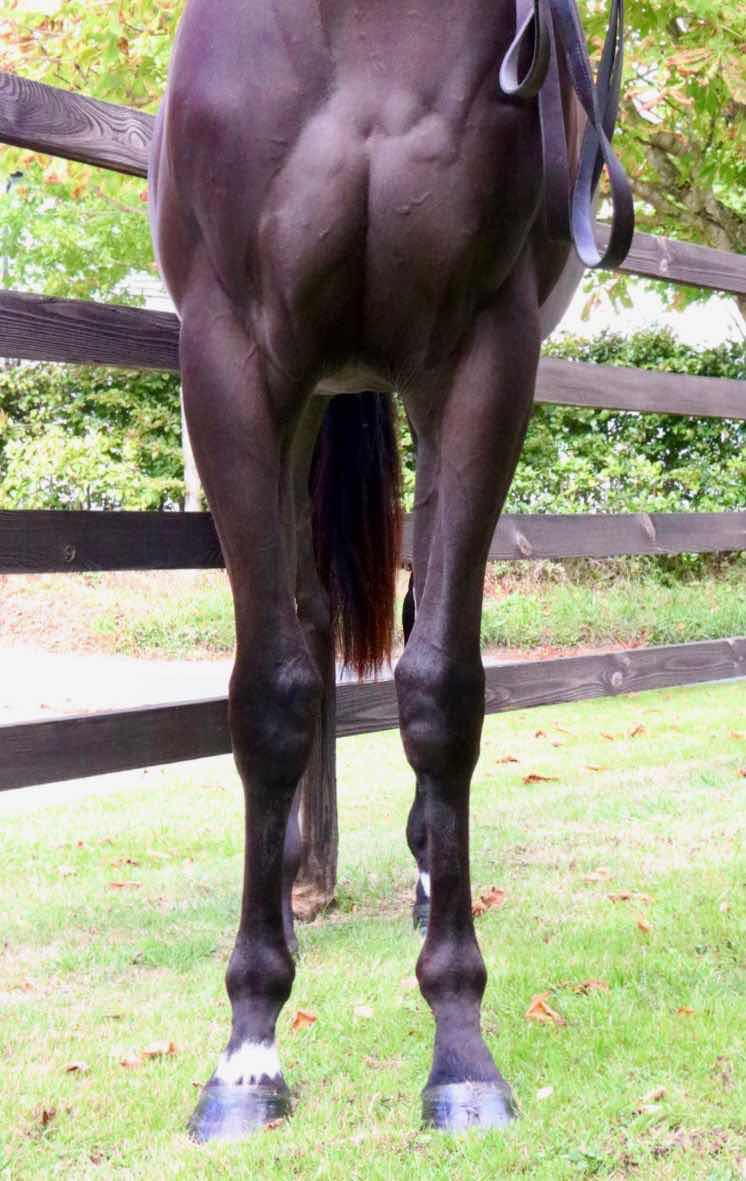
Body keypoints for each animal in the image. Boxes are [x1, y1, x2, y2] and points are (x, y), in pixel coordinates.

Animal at [149, 0, 632, 1141]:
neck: (361, 34)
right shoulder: (232, 361)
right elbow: (270, 695)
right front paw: (248, 1046)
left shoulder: (480, 359)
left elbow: (441, 689)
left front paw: (459, 1044)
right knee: (301, 622)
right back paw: (285, 890)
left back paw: (417, 872)